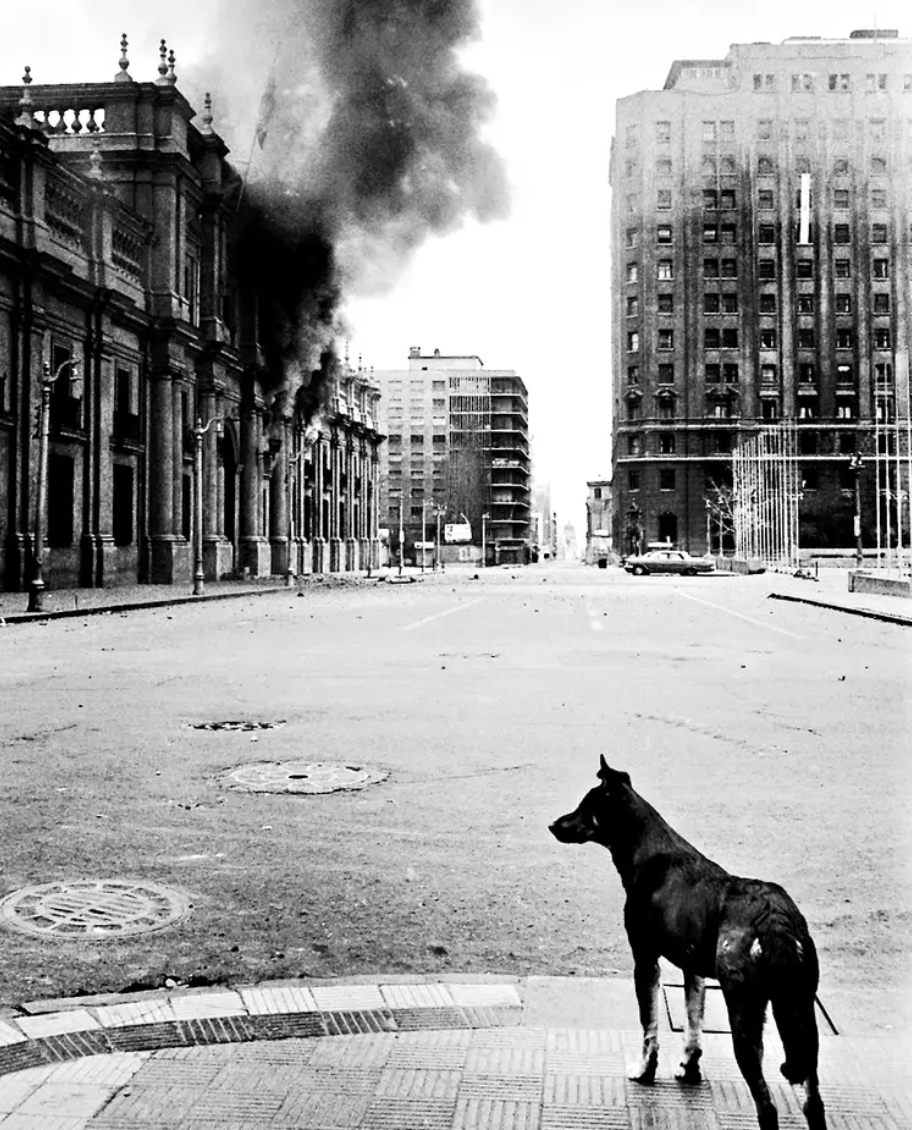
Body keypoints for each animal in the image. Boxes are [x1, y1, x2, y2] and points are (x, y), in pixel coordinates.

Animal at [549, 754, 827, 1130]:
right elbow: (693, 1024)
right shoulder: (693, 968)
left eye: (585, 806)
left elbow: (648, 1025)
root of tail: (774, 919)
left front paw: (645, 1071)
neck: (647, 850)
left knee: (766, 1107)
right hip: (799, 1011)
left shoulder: (644, 960)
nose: (553, 825)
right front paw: (688, 1068)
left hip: (746, 1012)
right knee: (814, 1103)